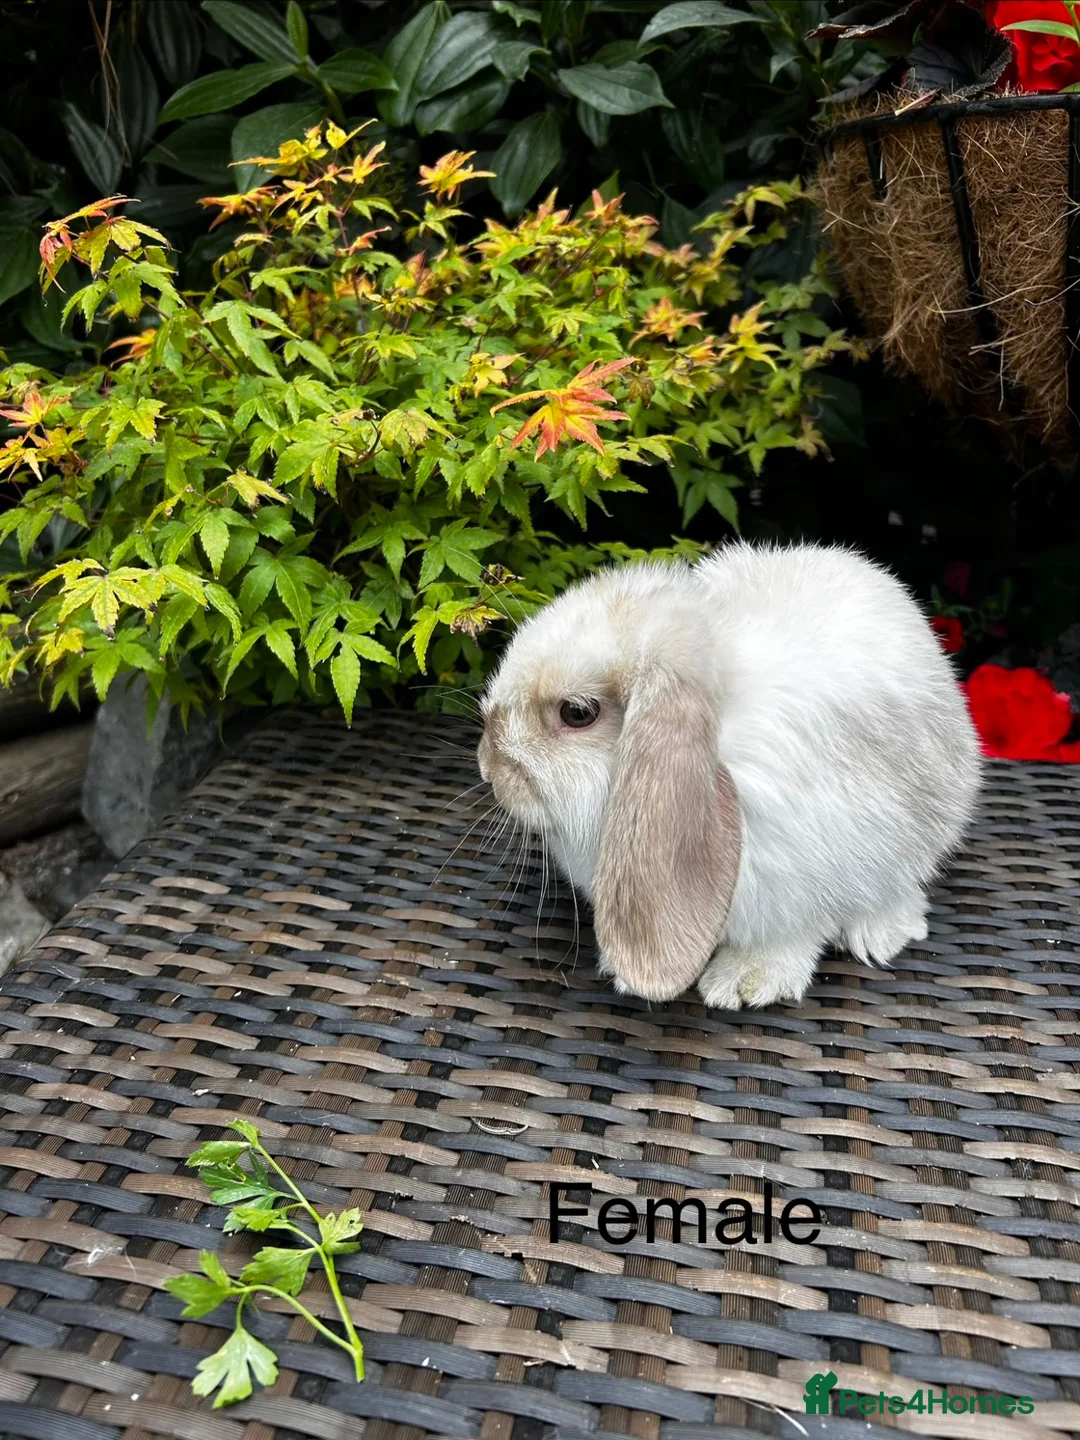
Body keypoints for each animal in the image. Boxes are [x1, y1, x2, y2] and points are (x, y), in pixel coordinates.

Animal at [477, 541, 982, 1009]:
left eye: (577, 713)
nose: (487, 764)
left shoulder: (806, 883)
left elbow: (791, 935)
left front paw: (744, 981)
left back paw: (880, 933)